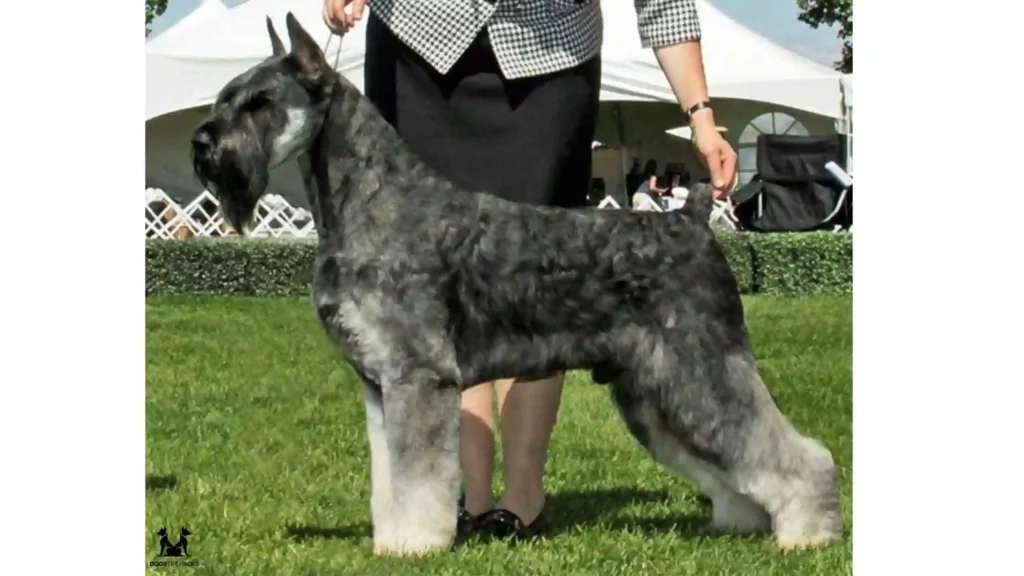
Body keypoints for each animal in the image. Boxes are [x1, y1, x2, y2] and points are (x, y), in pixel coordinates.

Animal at [190, 12, 839, 553]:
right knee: (731, 460)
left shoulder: (418, 378)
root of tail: (693, 217)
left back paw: (807, 532)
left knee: (790, 451)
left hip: (700, 370)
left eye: (262, 102)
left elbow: (416, 479)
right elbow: (389, 480)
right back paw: (742, 522)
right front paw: (389, 540)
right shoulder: (381, 386)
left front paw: (413, 546)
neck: (369, 198)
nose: (203, 143)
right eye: (226, 96)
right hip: (652, 390)